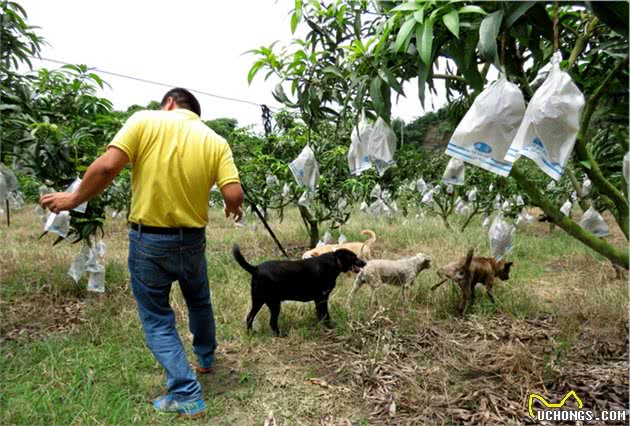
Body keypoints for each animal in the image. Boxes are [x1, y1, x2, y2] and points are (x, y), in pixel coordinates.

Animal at [232, 245, 366, 338]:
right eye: (353, 257)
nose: (364, 262)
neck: (333, 263)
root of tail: (256, 269)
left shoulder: (322, 298)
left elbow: (324, 314)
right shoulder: (321, 298)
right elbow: (324, 315)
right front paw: (328, 327)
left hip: (258, 300)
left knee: (249, 317)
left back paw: (250, 333)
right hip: (274, 303)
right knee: (272, 322)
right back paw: (280, 335)